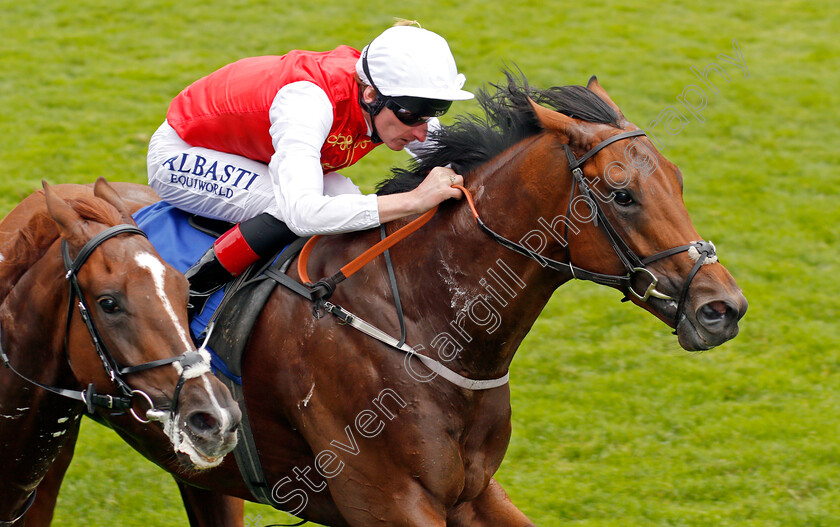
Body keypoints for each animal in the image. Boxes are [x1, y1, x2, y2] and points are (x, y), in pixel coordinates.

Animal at [32, 75, 744, 527]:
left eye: (678, 181)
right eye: (623, 195)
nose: (722, 308)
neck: (431, 330)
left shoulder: (471, 495)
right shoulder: (388, 501)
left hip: (203, 474)